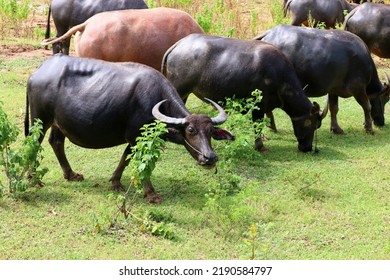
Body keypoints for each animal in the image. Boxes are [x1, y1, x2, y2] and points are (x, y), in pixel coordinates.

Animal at [26, 54, 235, 203]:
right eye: (190, 130)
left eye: (210, 132)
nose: (210, 158)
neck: (155, 101)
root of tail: (38, 72)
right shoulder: (137, 136)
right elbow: (141, 161)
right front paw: (151, 193)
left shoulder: (135, 139)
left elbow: (126, 158)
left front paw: (115, 182)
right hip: (40, 120)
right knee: (33, 144)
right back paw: (33, 178)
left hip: (58, 123)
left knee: (56, 142)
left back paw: (70, 174)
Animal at [161, 34, 326, 153]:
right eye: (313, 125)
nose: (308, 148)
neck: (280, 78)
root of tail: (179, 44)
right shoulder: (258, 107)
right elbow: (257, 125)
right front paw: (260, 146)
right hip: (179, 88)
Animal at [256, 24, 390, 134]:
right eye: (385, 98)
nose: (381, 122)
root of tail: (268, 34)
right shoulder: (358, 88)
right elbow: (367, 105)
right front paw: (369, 128)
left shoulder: (333, 90)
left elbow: (334, 108)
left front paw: (336, 129)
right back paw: (272, 126)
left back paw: (271, 126)